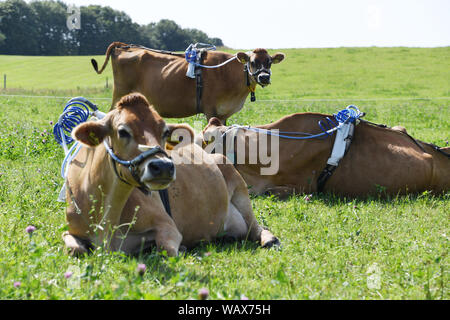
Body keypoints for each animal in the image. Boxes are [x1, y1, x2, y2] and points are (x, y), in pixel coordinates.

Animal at [62, 92, 278, 255]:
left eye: (165, 131)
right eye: (122, 131)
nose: (163, 166)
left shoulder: (167, 225)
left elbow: (167, 249)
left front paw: (180, 249)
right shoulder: (72, 230)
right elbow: (74, 247)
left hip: (240, 191)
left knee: (256, 227)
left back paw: (270, 239)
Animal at [90, 41, 284, 124]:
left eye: (269, 62)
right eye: (253, 62)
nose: (264, 77)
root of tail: (123, 46)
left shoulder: (224, 114)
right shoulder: (210, 110)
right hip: (120, 93)